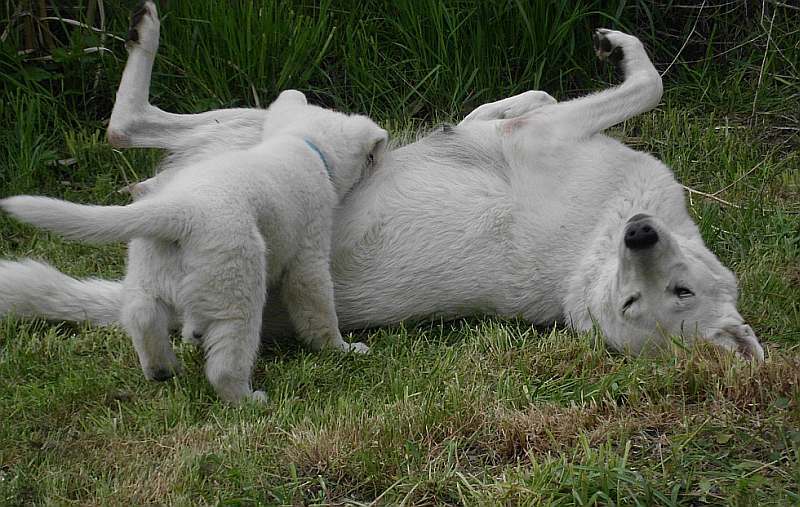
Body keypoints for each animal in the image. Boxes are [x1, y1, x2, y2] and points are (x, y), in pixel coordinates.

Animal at [0, 1, 764, 364]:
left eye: (659, 298)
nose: (639, 234)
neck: (589, 258)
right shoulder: (543, 127)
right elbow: (547, 100)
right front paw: (507, 102)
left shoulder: (552, 136)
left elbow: (646, 83)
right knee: (125, 127)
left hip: (274, 127)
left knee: (124, 125)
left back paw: (145, 32)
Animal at [0, 93, 388, 404]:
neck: (299, 144)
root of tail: (180, 213)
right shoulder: (309, 252)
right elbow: (317, 308)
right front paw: (342, 348)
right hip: (238, 285)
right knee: (226, 362)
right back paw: (248, 399)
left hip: (148, 272)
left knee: (141, 316)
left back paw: (161, 368)